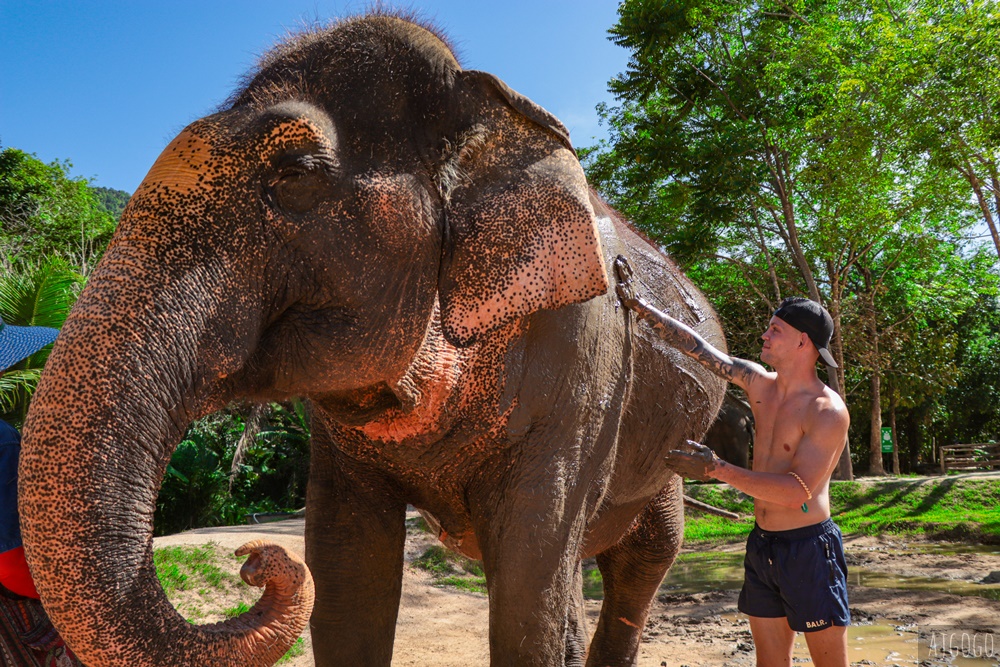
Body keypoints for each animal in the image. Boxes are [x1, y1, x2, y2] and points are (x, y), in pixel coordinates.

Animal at [19, 11, 724, 667]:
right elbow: (347, 579)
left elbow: (531, 605)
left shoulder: (583, 364)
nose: (254, 558)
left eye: (295, 174)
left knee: (641, 561)